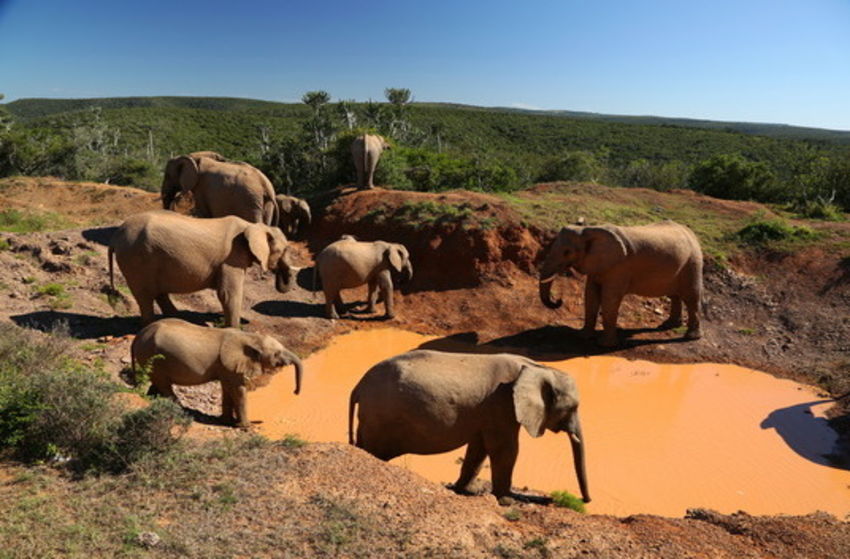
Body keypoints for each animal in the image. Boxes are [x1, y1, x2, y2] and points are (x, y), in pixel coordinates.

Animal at [107, 211, 294, 328]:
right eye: (284, 250)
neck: (252, 225)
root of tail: (115, 236)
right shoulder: (231, 257)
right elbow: (228, 293)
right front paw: (234, 330)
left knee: (158, 293)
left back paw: (179, 319)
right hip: (136, 259)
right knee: (145, 295)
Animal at [131, 320, 304, 428]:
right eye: (276, 354)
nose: (295, 392)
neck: (251, 337)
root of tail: (137, 337)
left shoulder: (226, 366)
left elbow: (227, 389)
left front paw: (228, 422)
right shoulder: (230, 364)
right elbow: (238, 390)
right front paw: (245, 427)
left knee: (157, 382)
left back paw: (151, 400)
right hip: (151, 356)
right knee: (164, 384)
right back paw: (180, 409)